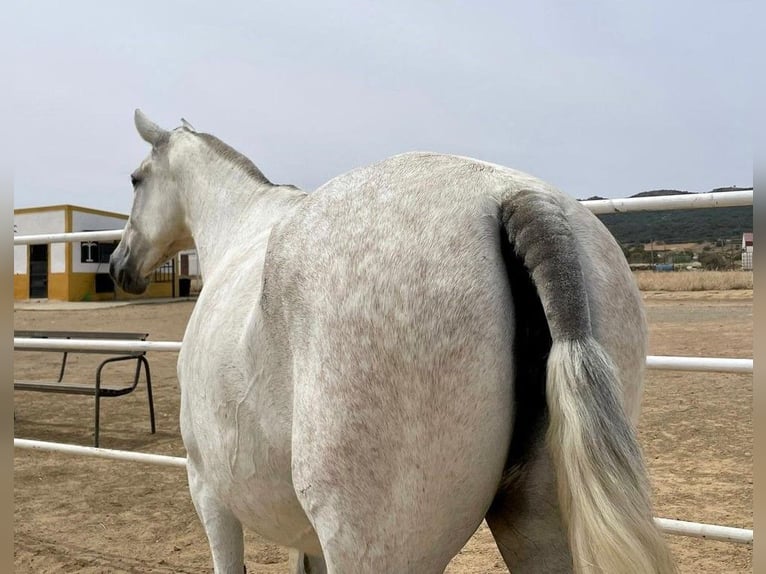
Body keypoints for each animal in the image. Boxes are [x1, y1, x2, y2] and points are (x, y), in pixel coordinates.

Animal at [111, 111, 676, 574]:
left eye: (136, 179)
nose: (119, 265)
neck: (240, 225)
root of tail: (515, 198)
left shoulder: (208, 491)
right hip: (536, 523)